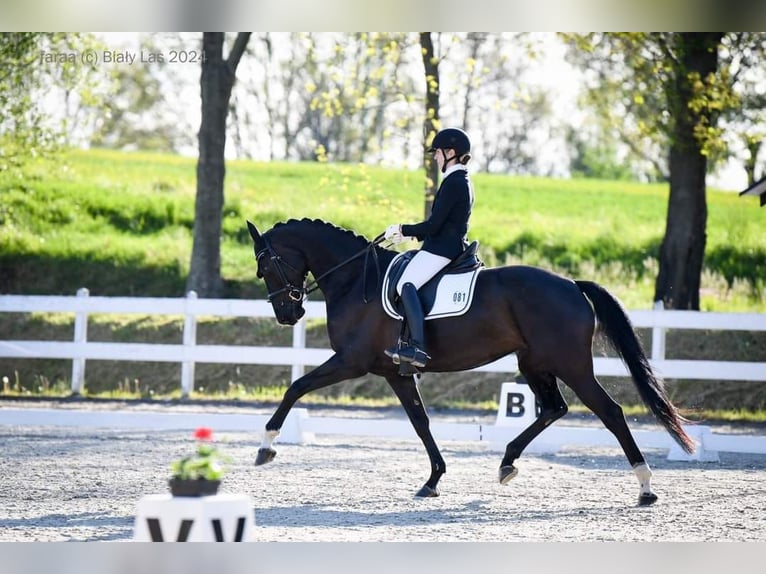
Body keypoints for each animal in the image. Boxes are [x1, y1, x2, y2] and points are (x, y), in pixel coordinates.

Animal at [246, 218, 695, 506]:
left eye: (265, 264)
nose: (287, 314)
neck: (357, 280)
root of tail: (571, 284)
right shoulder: (395, 372)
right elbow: (420, 422)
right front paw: (432, 480)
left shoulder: (351, 361)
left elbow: (296, 387)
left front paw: (266, 448)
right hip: (534, 363)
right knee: (554, 408)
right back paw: (507, 463)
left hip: (571, 365)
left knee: (610, 412)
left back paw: (645, 487)